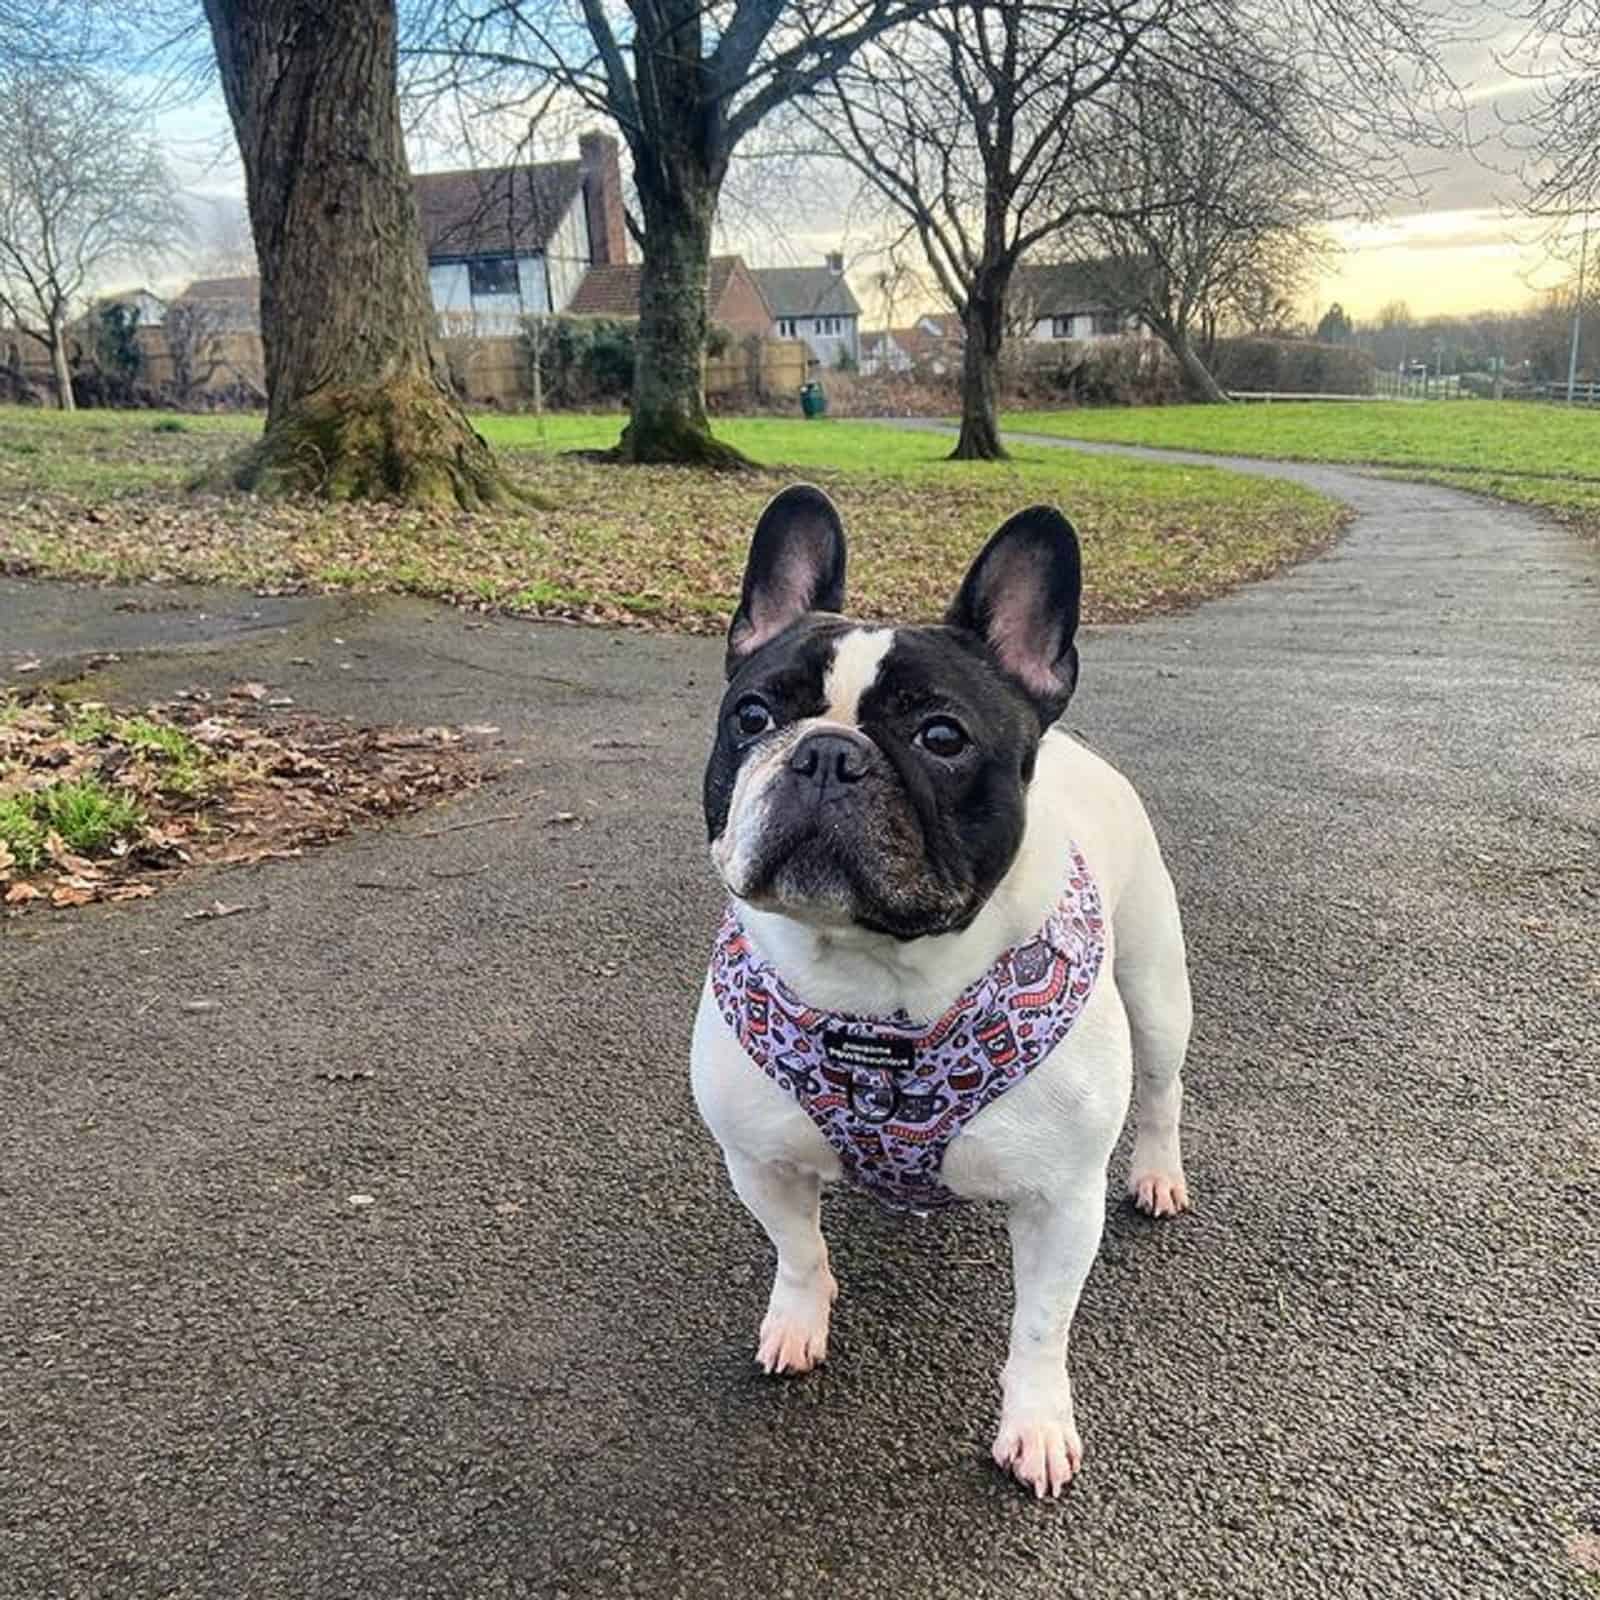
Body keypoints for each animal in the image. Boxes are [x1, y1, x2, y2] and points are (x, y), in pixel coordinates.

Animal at [688, 483, 1190, 1497]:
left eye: (942, 737)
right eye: (753, 716)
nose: (825, 753)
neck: (875, 979)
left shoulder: (1061, 1203)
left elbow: (1040, 1326)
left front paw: (1035, 1424)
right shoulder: (757, 1158)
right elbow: (797, 1249)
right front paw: (799, 1318)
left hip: (1159, 989)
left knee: (1164, 1090)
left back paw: (1159, 1174)